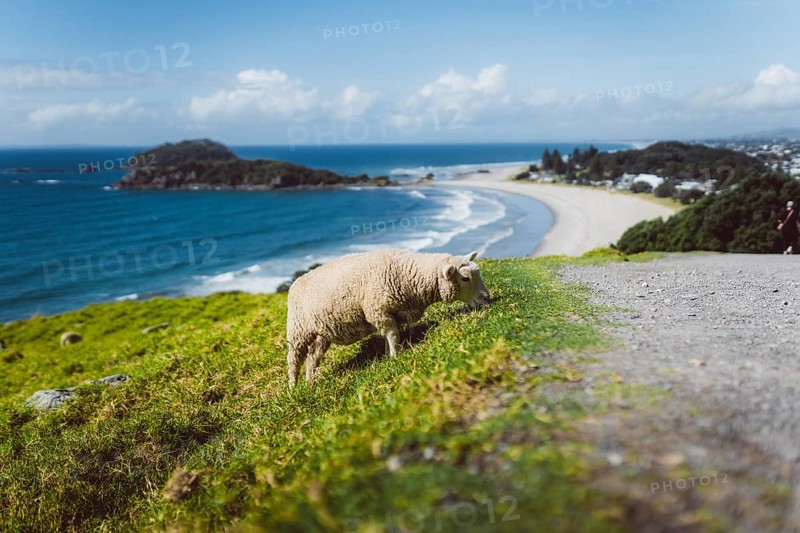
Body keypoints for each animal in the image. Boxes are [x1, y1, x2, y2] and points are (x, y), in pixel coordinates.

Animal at [286, 249, 490, 387]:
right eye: (465, 278)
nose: (486, 298)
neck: (407, 274)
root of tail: (296, 282)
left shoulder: (394, 314)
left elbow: (390, 336)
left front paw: (387, 355)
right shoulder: (378, 311)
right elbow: (392, 335)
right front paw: (395, 357)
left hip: (322, 334)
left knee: (312, 357)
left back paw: (310, 381)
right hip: (297, 331)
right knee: (294, 360)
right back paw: (293, 387)